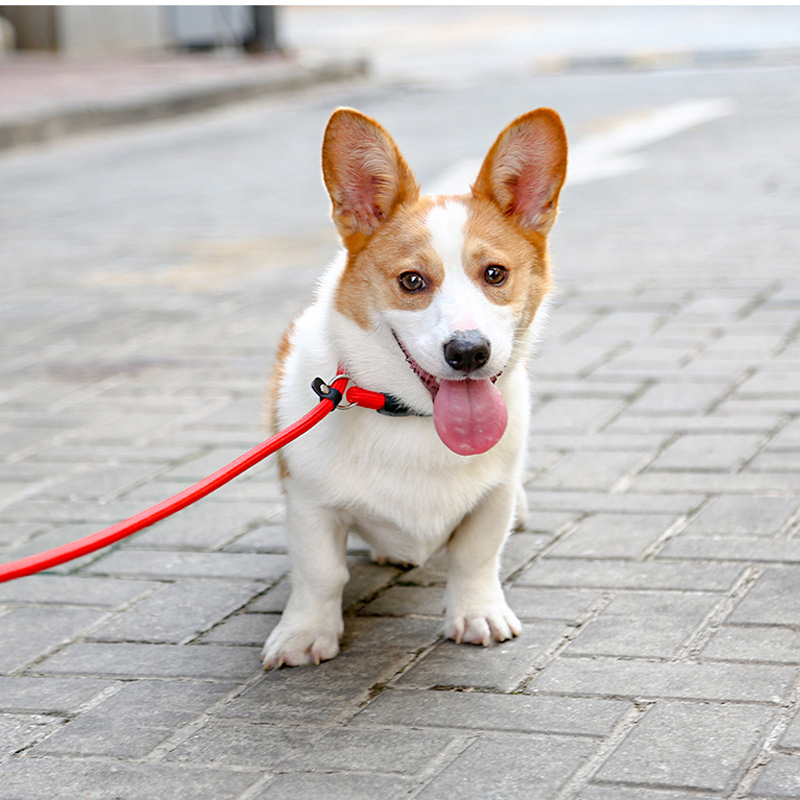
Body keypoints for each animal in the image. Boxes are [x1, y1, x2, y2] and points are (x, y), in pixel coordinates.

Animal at [264, 108, 568, 668]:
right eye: (411, 281)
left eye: (495, 274)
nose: (468, 352)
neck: (413, 420)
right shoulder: (309, 503)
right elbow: (320, 573)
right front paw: (304, 634)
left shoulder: (491, 498)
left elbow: (476, 556)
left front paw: (477, 614)